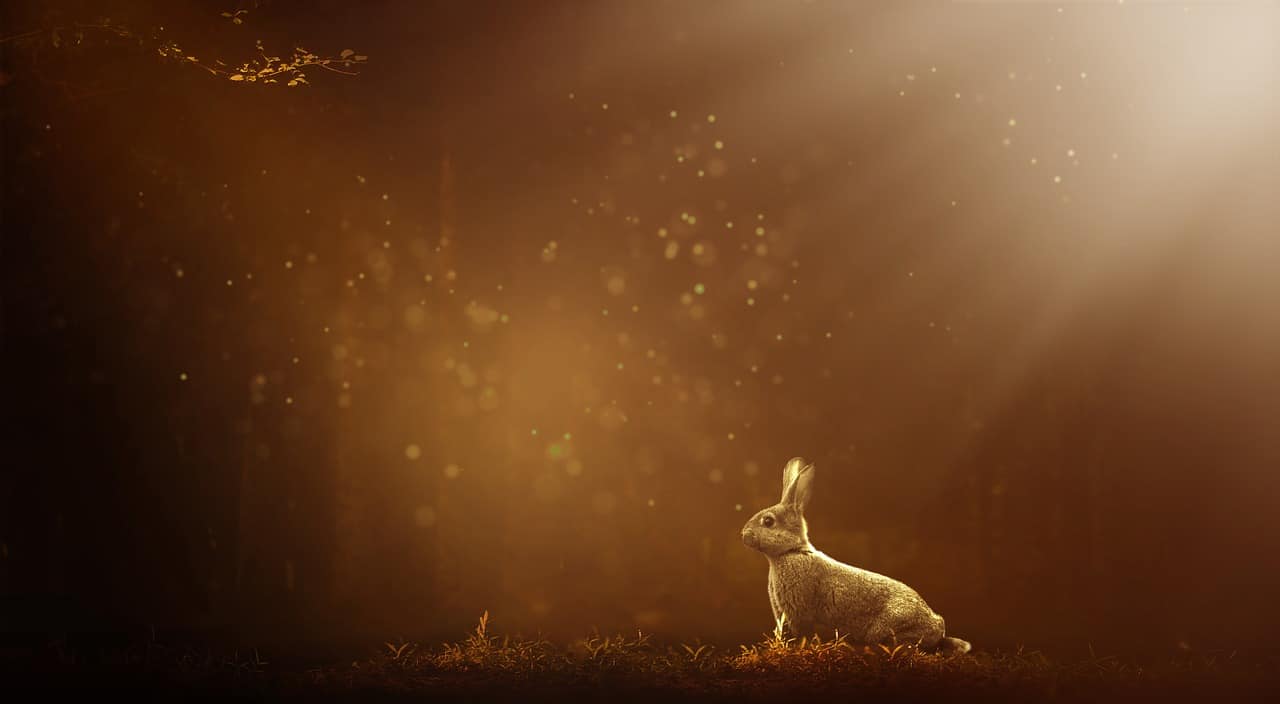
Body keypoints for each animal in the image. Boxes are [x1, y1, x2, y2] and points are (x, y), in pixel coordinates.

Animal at [741, 457, 971, 654]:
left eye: (768, 521)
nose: (744, 535)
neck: (791, 552)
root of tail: (938, 627)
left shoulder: (799, 613)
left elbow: (801, 635)